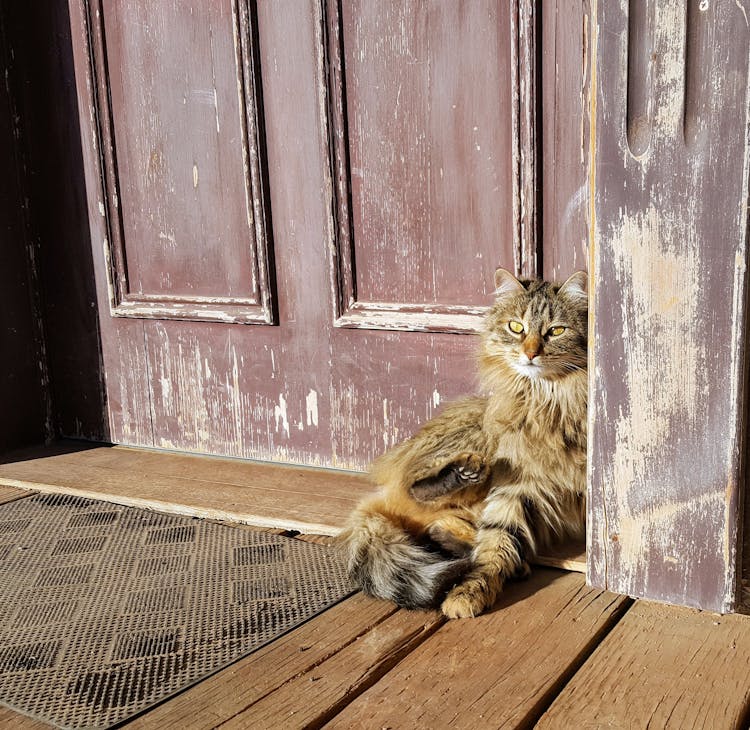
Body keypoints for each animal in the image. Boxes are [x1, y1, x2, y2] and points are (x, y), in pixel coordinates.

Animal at [338, 268, 592, 616]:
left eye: (555, 331)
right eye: (516, 327)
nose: (530, 353)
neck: (550, 401)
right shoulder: (516, 485)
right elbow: (495, 547)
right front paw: (470, 592)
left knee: (439, 527)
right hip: (476, 438)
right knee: (418, 491)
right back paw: (462, 475)